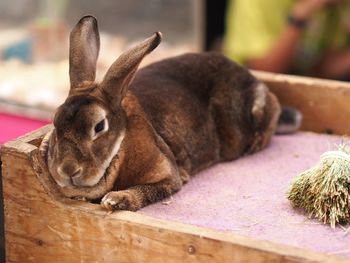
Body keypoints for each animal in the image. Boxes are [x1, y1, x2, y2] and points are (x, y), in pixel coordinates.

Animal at [43, 14, 300, 212]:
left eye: (99, 126)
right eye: (55, 122)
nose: (67, 170)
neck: (120, 149)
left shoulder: (168, 176)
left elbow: (149, 190)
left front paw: (116, 200)